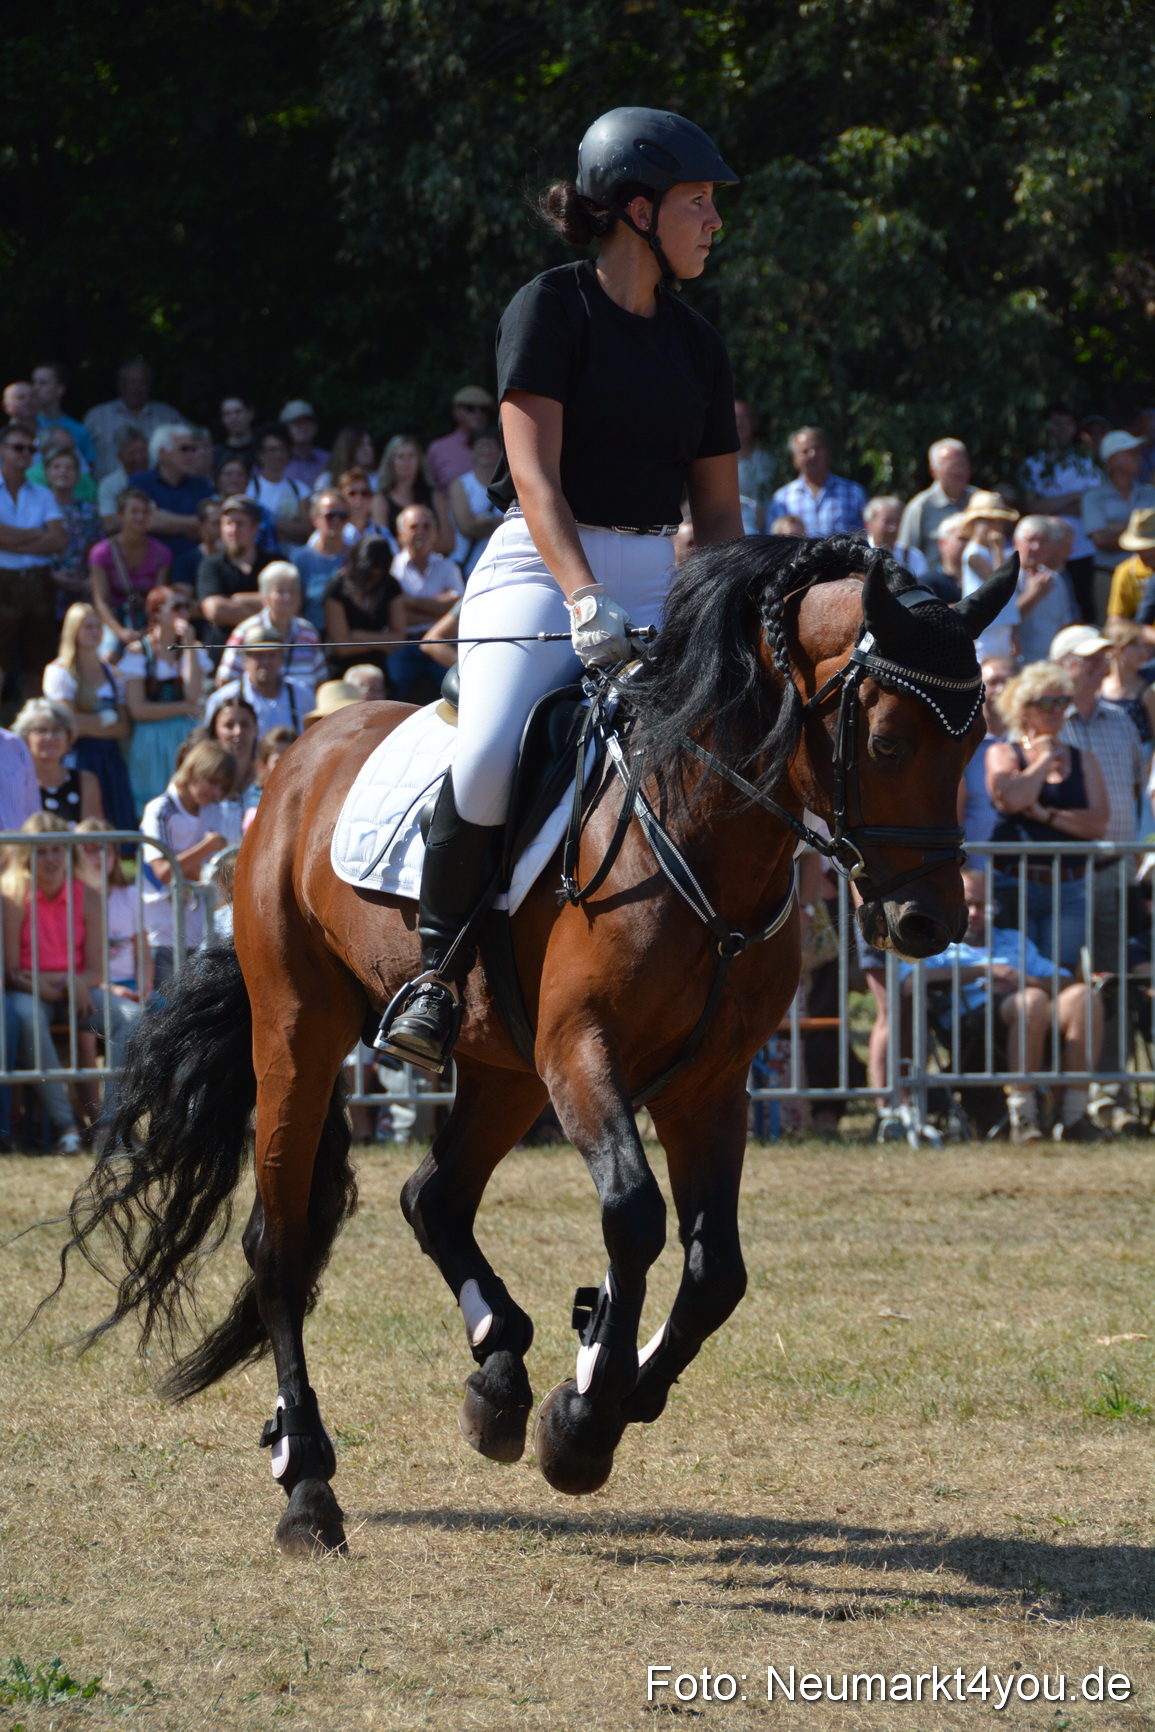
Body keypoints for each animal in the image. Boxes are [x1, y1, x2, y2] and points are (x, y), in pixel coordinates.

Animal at [50, 535, 1015, 1557]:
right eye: (887, 742)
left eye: (970, 746)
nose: (927, 922)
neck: (701, 834)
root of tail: (301, 753)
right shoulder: (581, 1051)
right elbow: (633, 1215)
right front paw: (585, 1421)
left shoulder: (709, 1084)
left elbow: (716, 1270)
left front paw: (603, 1383)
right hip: (300, 1035)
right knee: (278, 1246)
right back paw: (308, 1483)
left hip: (501, 1067)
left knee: (431, 1196)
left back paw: (498, 1372)